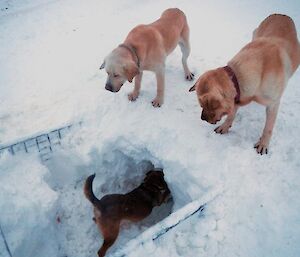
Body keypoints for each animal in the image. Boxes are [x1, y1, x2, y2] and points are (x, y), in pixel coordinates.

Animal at [190, 14, 300, 153]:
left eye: (204, 105)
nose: (202, 118)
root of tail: (282, 14)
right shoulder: (238, 95)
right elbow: (231, 115)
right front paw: (225, 127)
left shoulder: (273, 104)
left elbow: (268, 128)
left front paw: (263, 144)